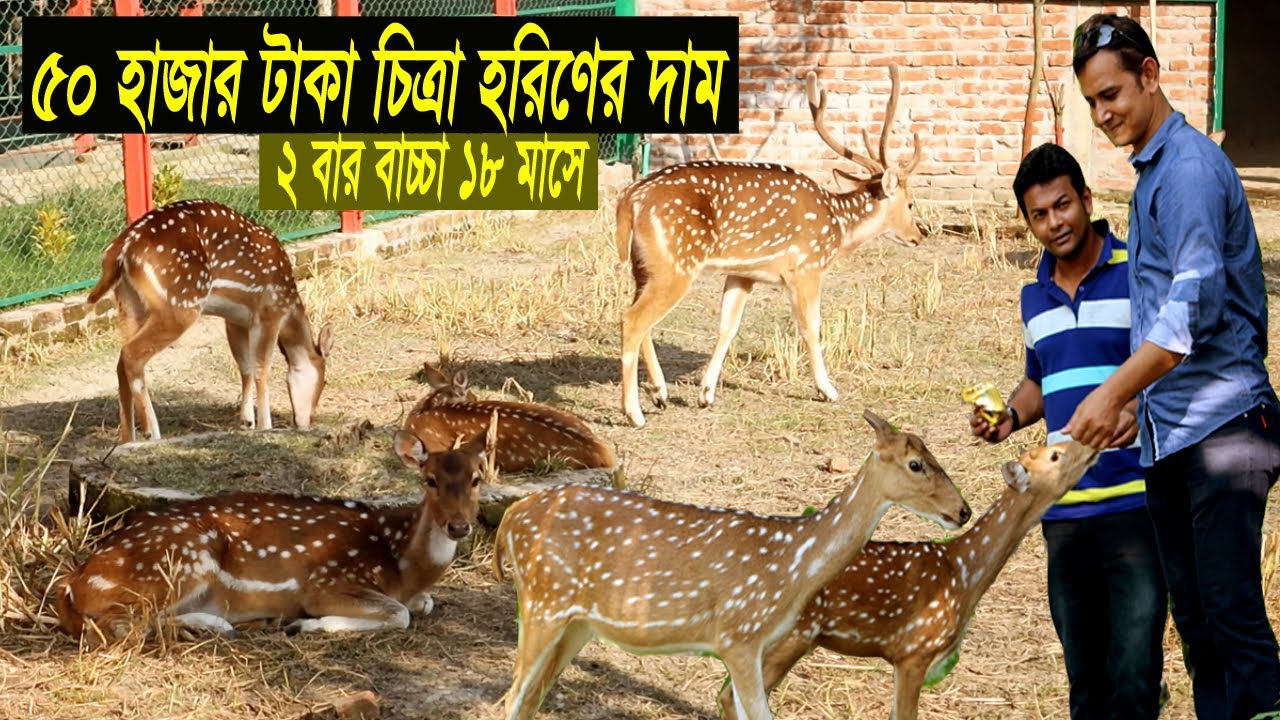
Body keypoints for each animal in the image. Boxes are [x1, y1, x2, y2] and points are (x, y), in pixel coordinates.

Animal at [55, 427, 487, 646]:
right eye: (429, 480)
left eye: (477, 479)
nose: (459, 525)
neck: (401, 565)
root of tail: (74, 583)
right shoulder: (326, 582)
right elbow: (400, 614)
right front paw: (303, 625)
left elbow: (422, 605)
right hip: (179, 560)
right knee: (117, 625)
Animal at [86, 199, 335, 443]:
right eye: (324, 381)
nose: (308, 421)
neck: (290, 306)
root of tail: (120, 250)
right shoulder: (269, 311)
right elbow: (261, 369)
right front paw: (265, 426)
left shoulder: (235, 319)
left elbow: (245, 366)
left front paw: (247, 421)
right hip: (180, 303)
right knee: (131, 354)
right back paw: (151, 432)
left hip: (129, 304)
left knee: (121, 360)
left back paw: (128, 439)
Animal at [492, 410, 973, 720]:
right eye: (916, 464)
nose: (963, 511)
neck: (792, 566)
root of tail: (511, 520)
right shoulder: (737, 635)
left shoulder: (756, 643)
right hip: (543, 602)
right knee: (513, 697)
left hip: (578, 623)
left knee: (529, 699)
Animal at [614, 64, 924, 427]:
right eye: (911, 203)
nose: (919, 235)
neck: (837, 225)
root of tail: (629, 199)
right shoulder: (805, 268)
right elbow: (810, 327)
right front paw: (828, 390)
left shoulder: (743, 273)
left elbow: (727, 327)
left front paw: (706, 394)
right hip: (675, 264)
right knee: (632, 320)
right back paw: (634, 413)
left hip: (645, 266)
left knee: (642, 318)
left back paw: (659, 393)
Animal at [716, 440, 1102, 720]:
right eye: (1056, 454)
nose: (1090, 444)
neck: (965, 571)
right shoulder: (914, 650)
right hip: (791, 635)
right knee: (731, 696)